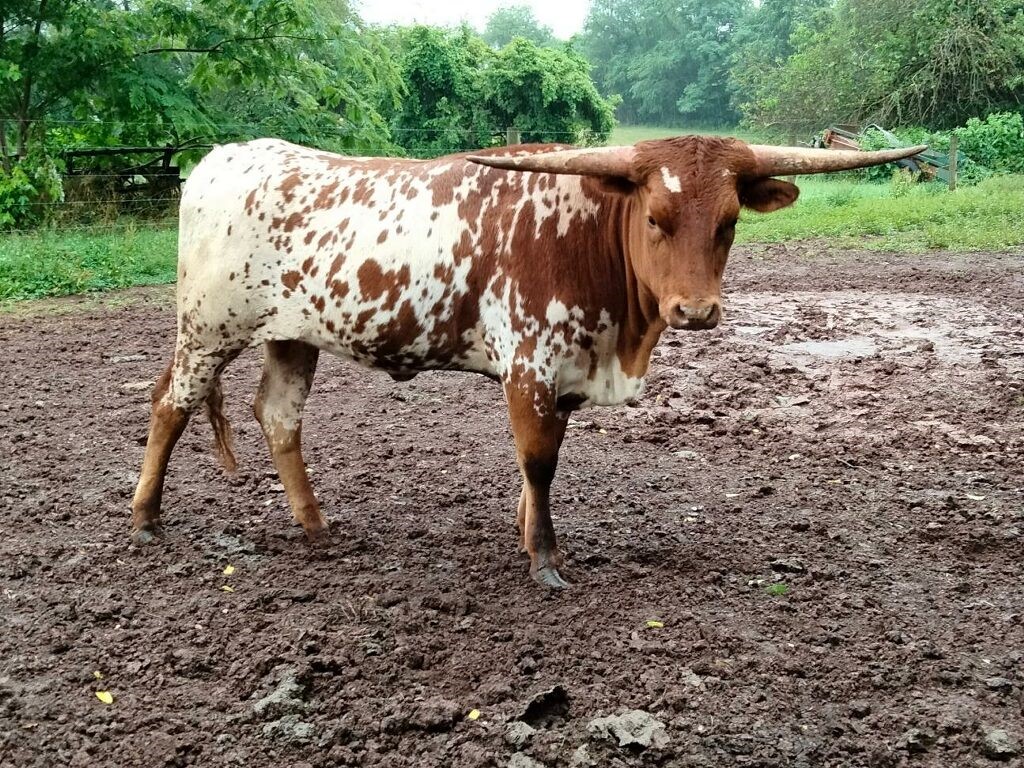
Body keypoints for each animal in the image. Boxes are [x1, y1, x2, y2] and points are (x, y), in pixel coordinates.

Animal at [129, 136, 924, 588]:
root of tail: (222, 159)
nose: (696, 311)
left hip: (291, 333)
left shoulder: (566, 373)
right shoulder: (530, 365)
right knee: (170, 402)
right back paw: (145, 518)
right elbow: (538, 462)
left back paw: (316, 526)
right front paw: (543, 560)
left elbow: (539, 468)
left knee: (278, 416)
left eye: (728, 223)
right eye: (656, 219)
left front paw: (527, 534)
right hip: (207, 326)